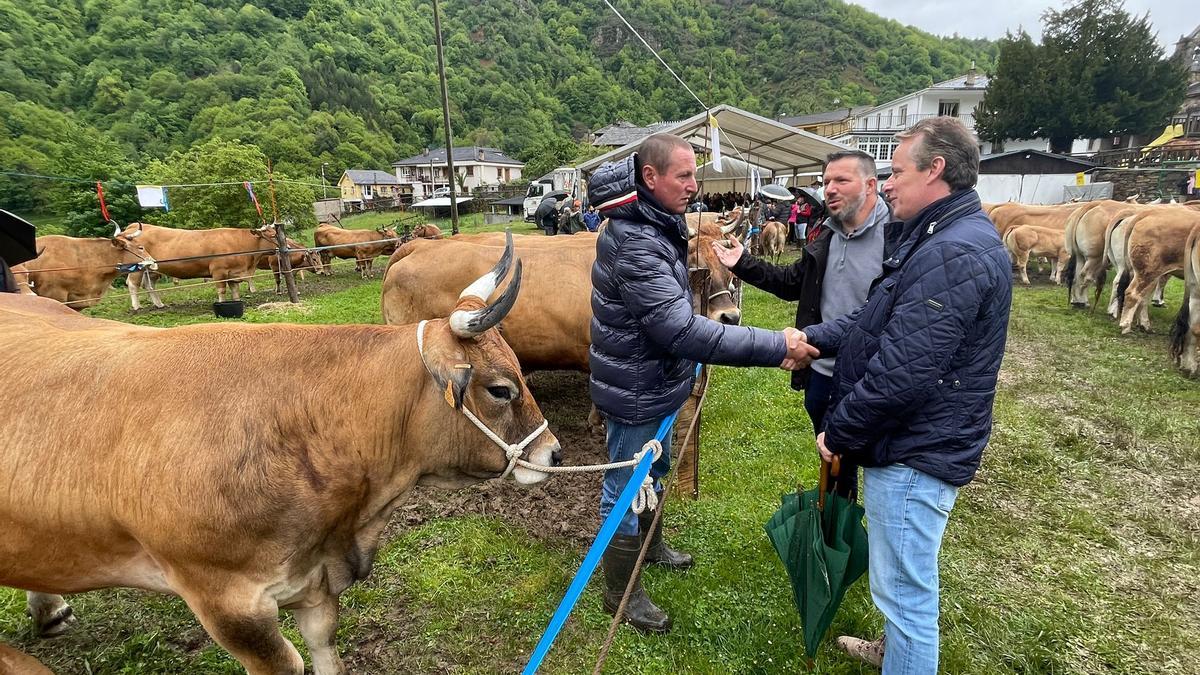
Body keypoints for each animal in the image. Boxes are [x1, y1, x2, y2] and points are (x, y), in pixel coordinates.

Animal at [123, 220, 278, 307]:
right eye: (272, 235)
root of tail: (131, 227)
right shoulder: (218, 271)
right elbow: (221, 290)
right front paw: (222, 303)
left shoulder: (232, 273)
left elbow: (235, 291)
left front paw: (237, 300)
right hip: (137, 269)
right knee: (133, 284)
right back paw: (137, 307)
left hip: (152, 270)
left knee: (149, 285)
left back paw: (159, 304)